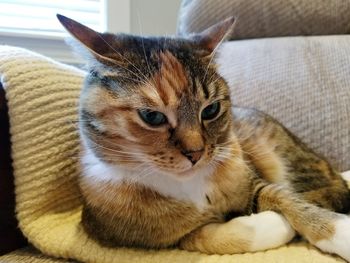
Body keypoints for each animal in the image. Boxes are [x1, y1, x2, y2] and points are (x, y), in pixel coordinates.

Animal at [56, 14, 350, 262]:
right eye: (152, 116)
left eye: (211, 110)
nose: (195, 153)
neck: (189, 185)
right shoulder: (160, 238)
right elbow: (214, 236)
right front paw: (273, 224)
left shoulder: (251, 181)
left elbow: (288, 199)